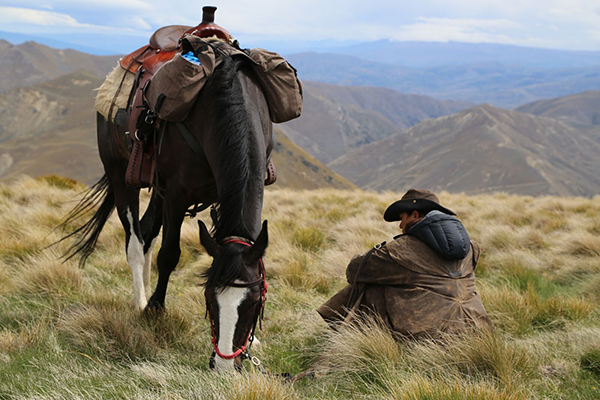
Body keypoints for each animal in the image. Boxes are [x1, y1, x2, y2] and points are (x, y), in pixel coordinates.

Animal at [61, 54, 274, 370]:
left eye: (255, 301)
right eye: (209, 297)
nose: (224, 366)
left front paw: (254, 340)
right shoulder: (176, 196)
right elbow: (170, 254)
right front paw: (154, 309)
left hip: (157, 191)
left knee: (147, 231)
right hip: (121, 176)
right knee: (135, 241)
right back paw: (140, 301)